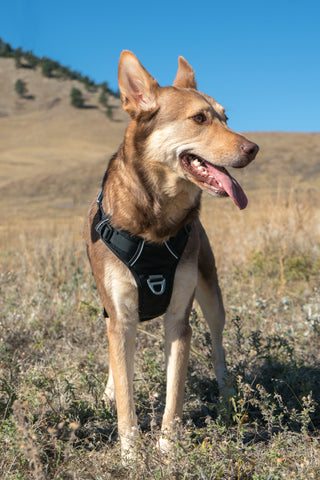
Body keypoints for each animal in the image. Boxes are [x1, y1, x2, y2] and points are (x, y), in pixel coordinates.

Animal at [85, 50, 260, 460]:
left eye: (226, 117)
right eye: (199, 118)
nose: (253, 149)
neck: (156, 223)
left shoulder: (180, 319)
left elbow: (175, 392)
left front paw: (167, 447)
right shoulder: (120, 318)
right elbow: (126, 394)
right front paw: (131, 455)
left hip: (212, 299)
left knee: (219, 349)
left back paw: (227, 400)